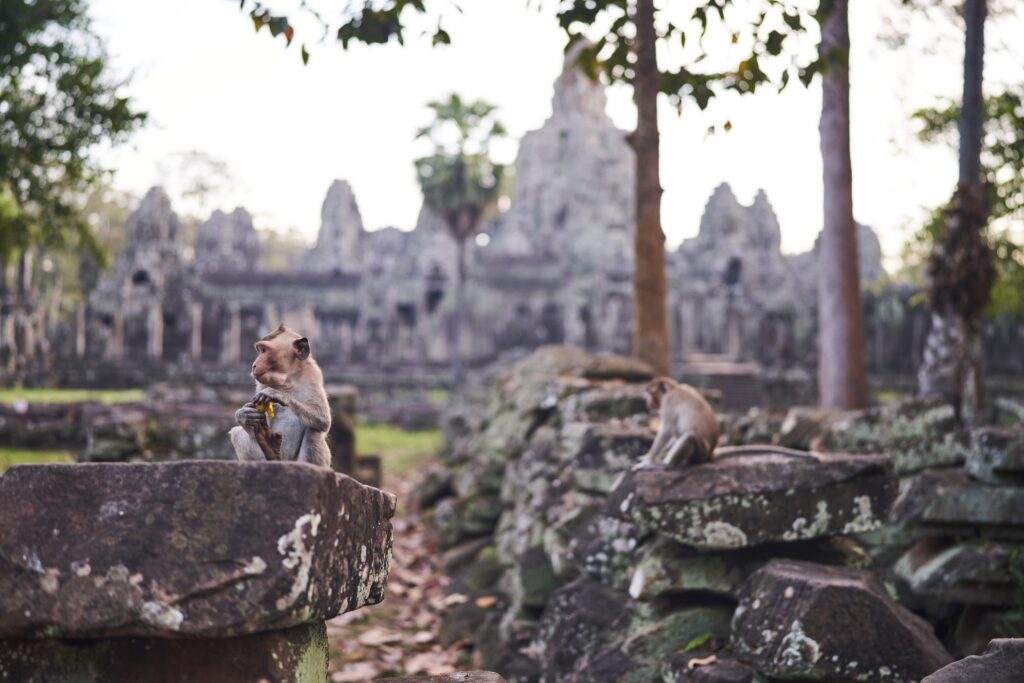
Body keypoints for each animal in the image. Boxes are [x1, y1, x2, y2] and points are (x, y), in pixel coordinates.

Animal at [229, 325, 331, 471]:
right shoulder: (261, 383)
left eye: (264, 350)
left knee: (313, 431)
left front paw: (278, 395)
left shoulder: (312, 375)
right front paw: (244, 414)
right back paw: (270, 451)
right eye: (260, 350)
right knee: (237, 433)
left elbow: (323, 419)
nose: (254, 365)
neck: (287, 379)